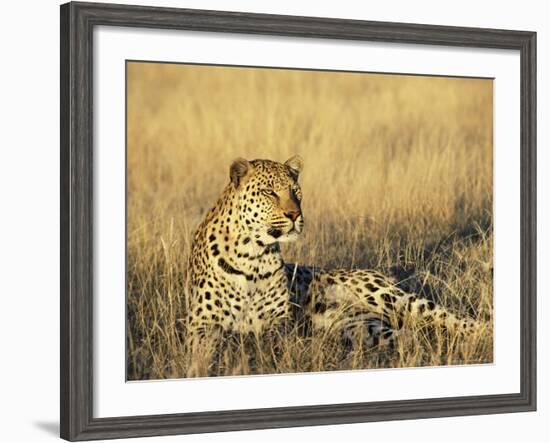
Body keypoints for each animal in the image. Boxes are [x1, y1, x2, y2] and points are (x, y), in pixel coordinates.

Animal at [187, 154, 488, 376]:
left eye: (295, 192)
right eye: (269, 192)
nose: (294, 214)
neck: (253, 255)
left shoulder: (279, 322)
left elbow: (263, 340)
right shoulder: (201, 324)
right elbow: (210, 347)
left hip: (391, 298)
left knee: (447, 316)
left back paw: (484, 331)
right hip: (362, 326)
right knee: (409, 335)